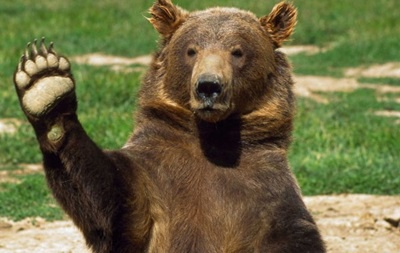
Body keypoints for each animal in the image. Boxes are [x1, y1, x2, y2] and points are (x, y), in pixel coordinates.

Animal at [13, 0, 324, 253]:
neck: (213, 137)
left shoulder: (266, 191)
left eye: (238, 51)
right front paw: (45, 83)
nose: (208, 86)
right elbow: (108, 198)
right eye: (191, 50)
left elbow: (295, 233)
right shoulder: (155, 177)